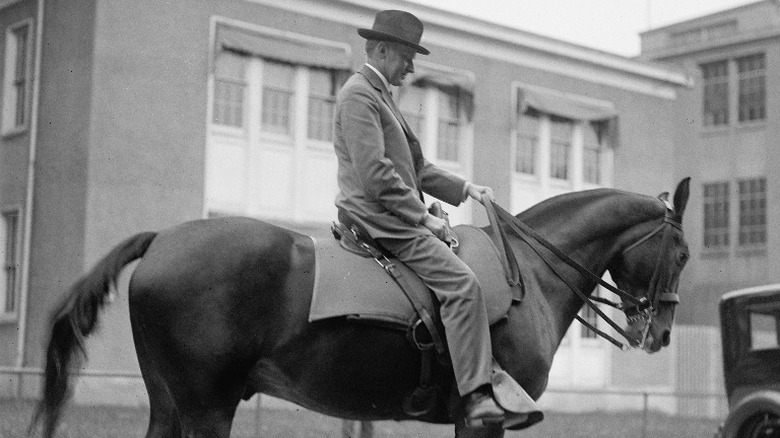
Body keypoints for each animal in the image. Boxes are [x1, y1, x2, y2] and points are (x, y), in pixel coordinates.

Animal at [32, 178, 688, 438]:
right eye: (681, 252)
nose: (660, 333)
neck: (525, 272)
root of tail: (163, 240)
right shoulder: (486, 419)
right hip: (206, 408)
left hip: (171, 404)